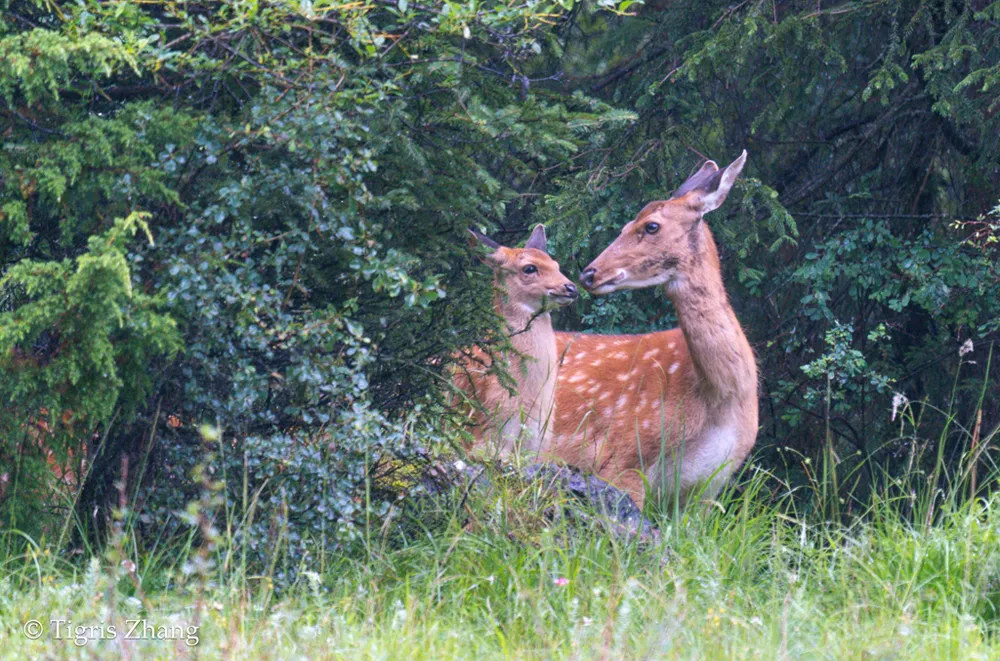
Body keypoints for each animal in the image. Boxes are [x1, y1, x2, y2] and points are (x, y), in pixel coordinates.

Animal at [548, 152, 756, 508]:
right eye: (623, 226)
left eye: (651, 226)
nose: (589, 273)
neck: (721, 398)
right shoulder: (622, 455)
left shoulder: (711, 484)